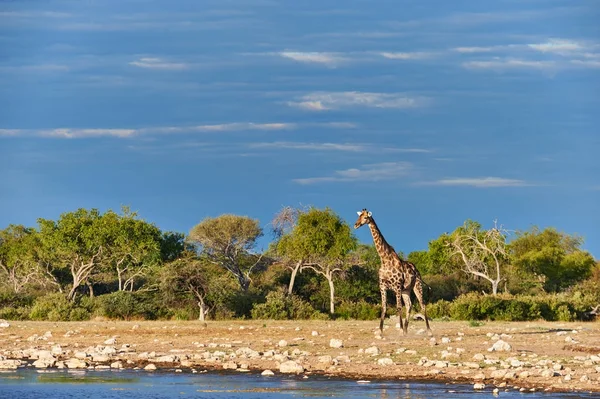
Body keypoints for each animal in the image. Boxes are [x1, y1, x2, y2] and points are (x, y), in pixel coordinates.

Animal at [352, 209, 432, 338]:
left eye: (365, 218)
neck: (385, 260)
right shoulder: (383, 286)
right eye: (359, 216)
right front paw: (380, 331)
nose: (355, 225)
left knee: (422, 304)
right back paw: (406, 331)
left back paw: (428, 331)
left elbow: (398, 307)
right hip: (406, 290)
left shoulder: (397, 286)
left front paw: (399, 330)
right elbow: (384, 307)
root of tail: (417, 270)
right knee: (409, 305)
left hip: (417, 286)